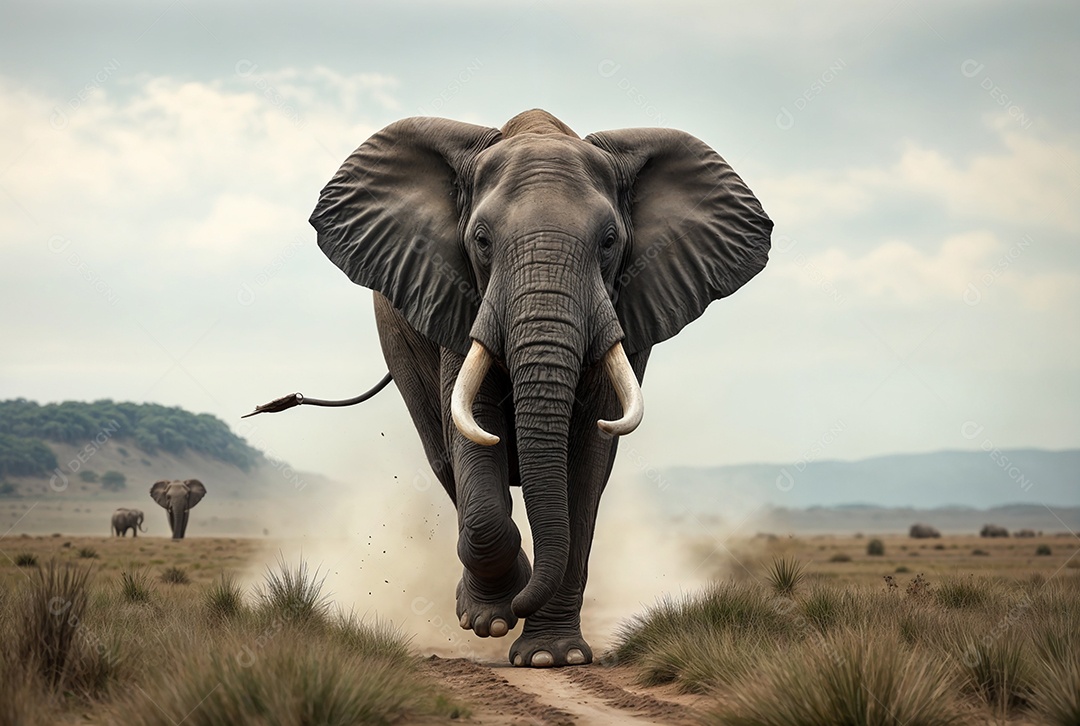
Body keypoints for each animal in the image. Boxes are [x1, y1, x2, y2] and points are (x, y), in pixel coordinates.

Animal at [304, 109, 771, 667]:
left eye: (610, 242)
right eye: (482, 241)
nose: (521, 604)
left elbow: (586, 461)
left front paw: (552, 657)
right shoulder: (456, 298)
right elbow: (475, 434)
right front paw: (494, 616)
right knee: (443, 459)